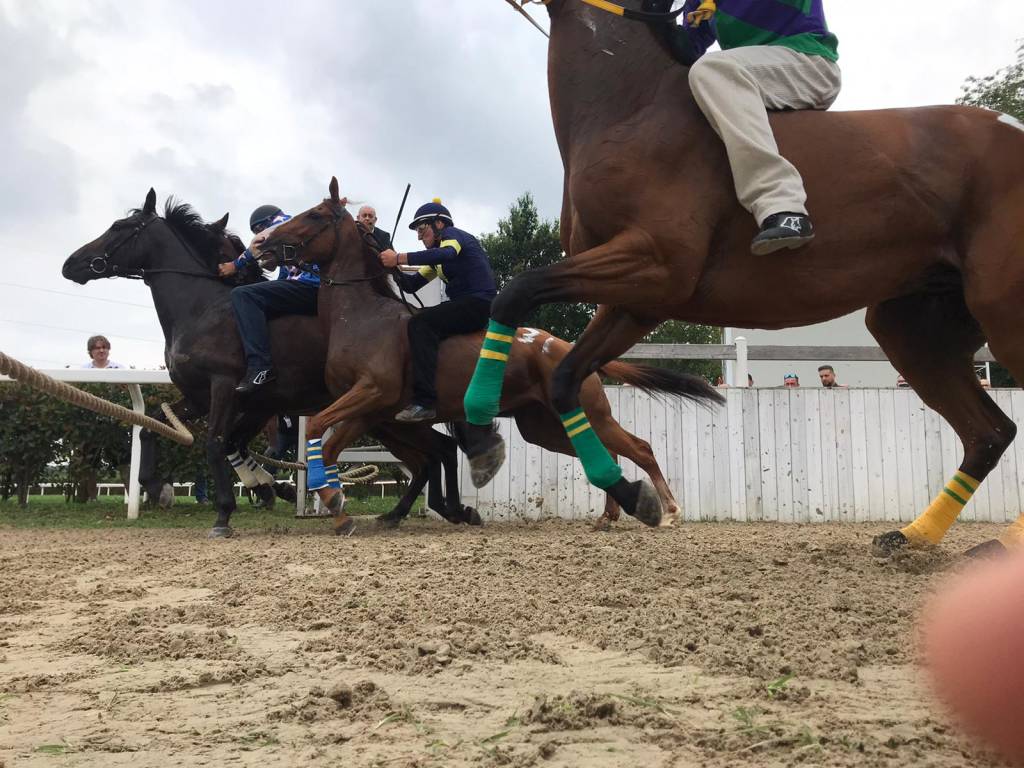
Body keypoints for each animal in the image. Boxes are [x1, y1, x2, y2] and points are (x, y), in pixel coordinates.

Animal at [61, 188, 477, 536]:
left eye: (120, 228)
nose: (71, 263)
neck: (203, 308)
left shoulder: (228, 388)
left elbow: (216, 442)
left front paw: (226, 511)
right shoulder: (204, 396)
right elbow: (155, 428)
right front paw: (156, 485)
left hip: (385, 414)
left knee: (434, 453)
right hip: (384, 418)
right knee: (433, 454)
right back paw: (421, 511)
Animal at [256, 180, 720, 528]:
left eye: (315, 215)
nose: (262, 243)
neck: (363, 316)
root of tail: (569, 348)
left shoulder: (373, 395)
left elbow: (321, 428)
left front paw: (336, 500)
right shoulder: (372, 410)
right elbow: (330, 442)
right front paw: (336, 501)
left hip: (590, 414)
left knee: (639, 447)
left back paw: (667, 508)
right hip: (542, 427)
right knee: (610, 451)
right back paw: (612, 514)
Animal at [460, 0, 1024, 552]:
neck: (632, 108)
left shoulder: (656, 263)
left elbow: (517, 290)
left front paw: (480, 423)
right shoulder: (636, 300)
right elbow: (562, 376)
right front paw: (622, 490)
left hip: (1003, 309)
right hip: (913, 329)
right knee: (989, 433)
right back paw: (914, 538)